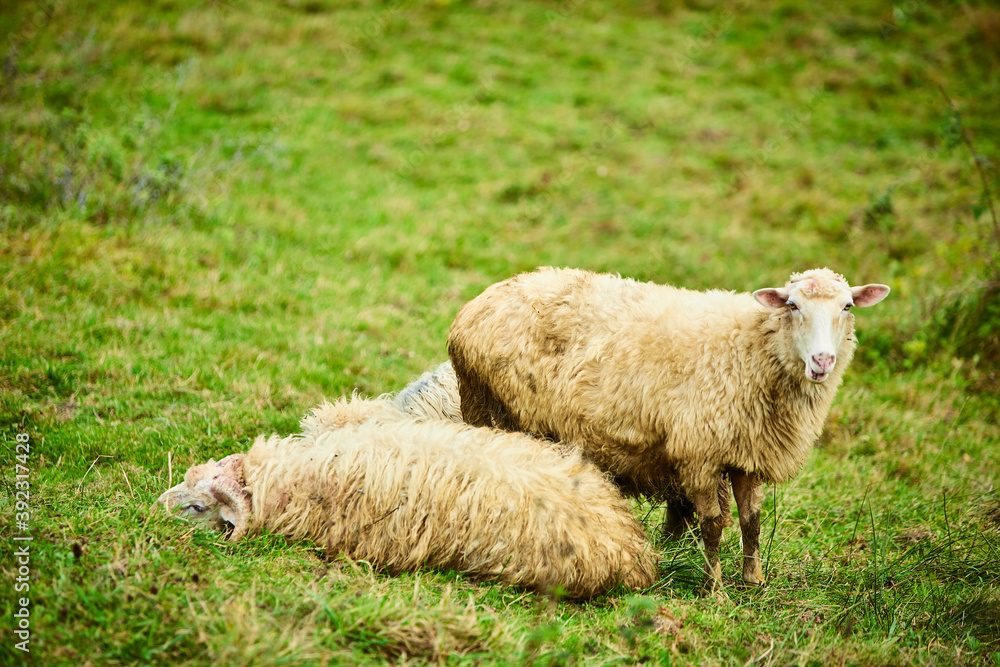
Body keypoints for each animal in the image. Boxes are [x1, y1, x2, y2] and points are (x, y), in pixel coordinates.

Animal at [447, 267, 890, 589]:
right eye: (793, 305)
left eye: (848, 306)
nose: (822, 361)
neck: (750, 348)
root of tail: (482, 300)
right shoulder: (699, 453)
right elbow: (713, 525)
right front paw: (715, 589)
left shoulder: (746, 451)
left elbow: (752, 521)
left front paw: (753, 581)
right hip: (489, 406)